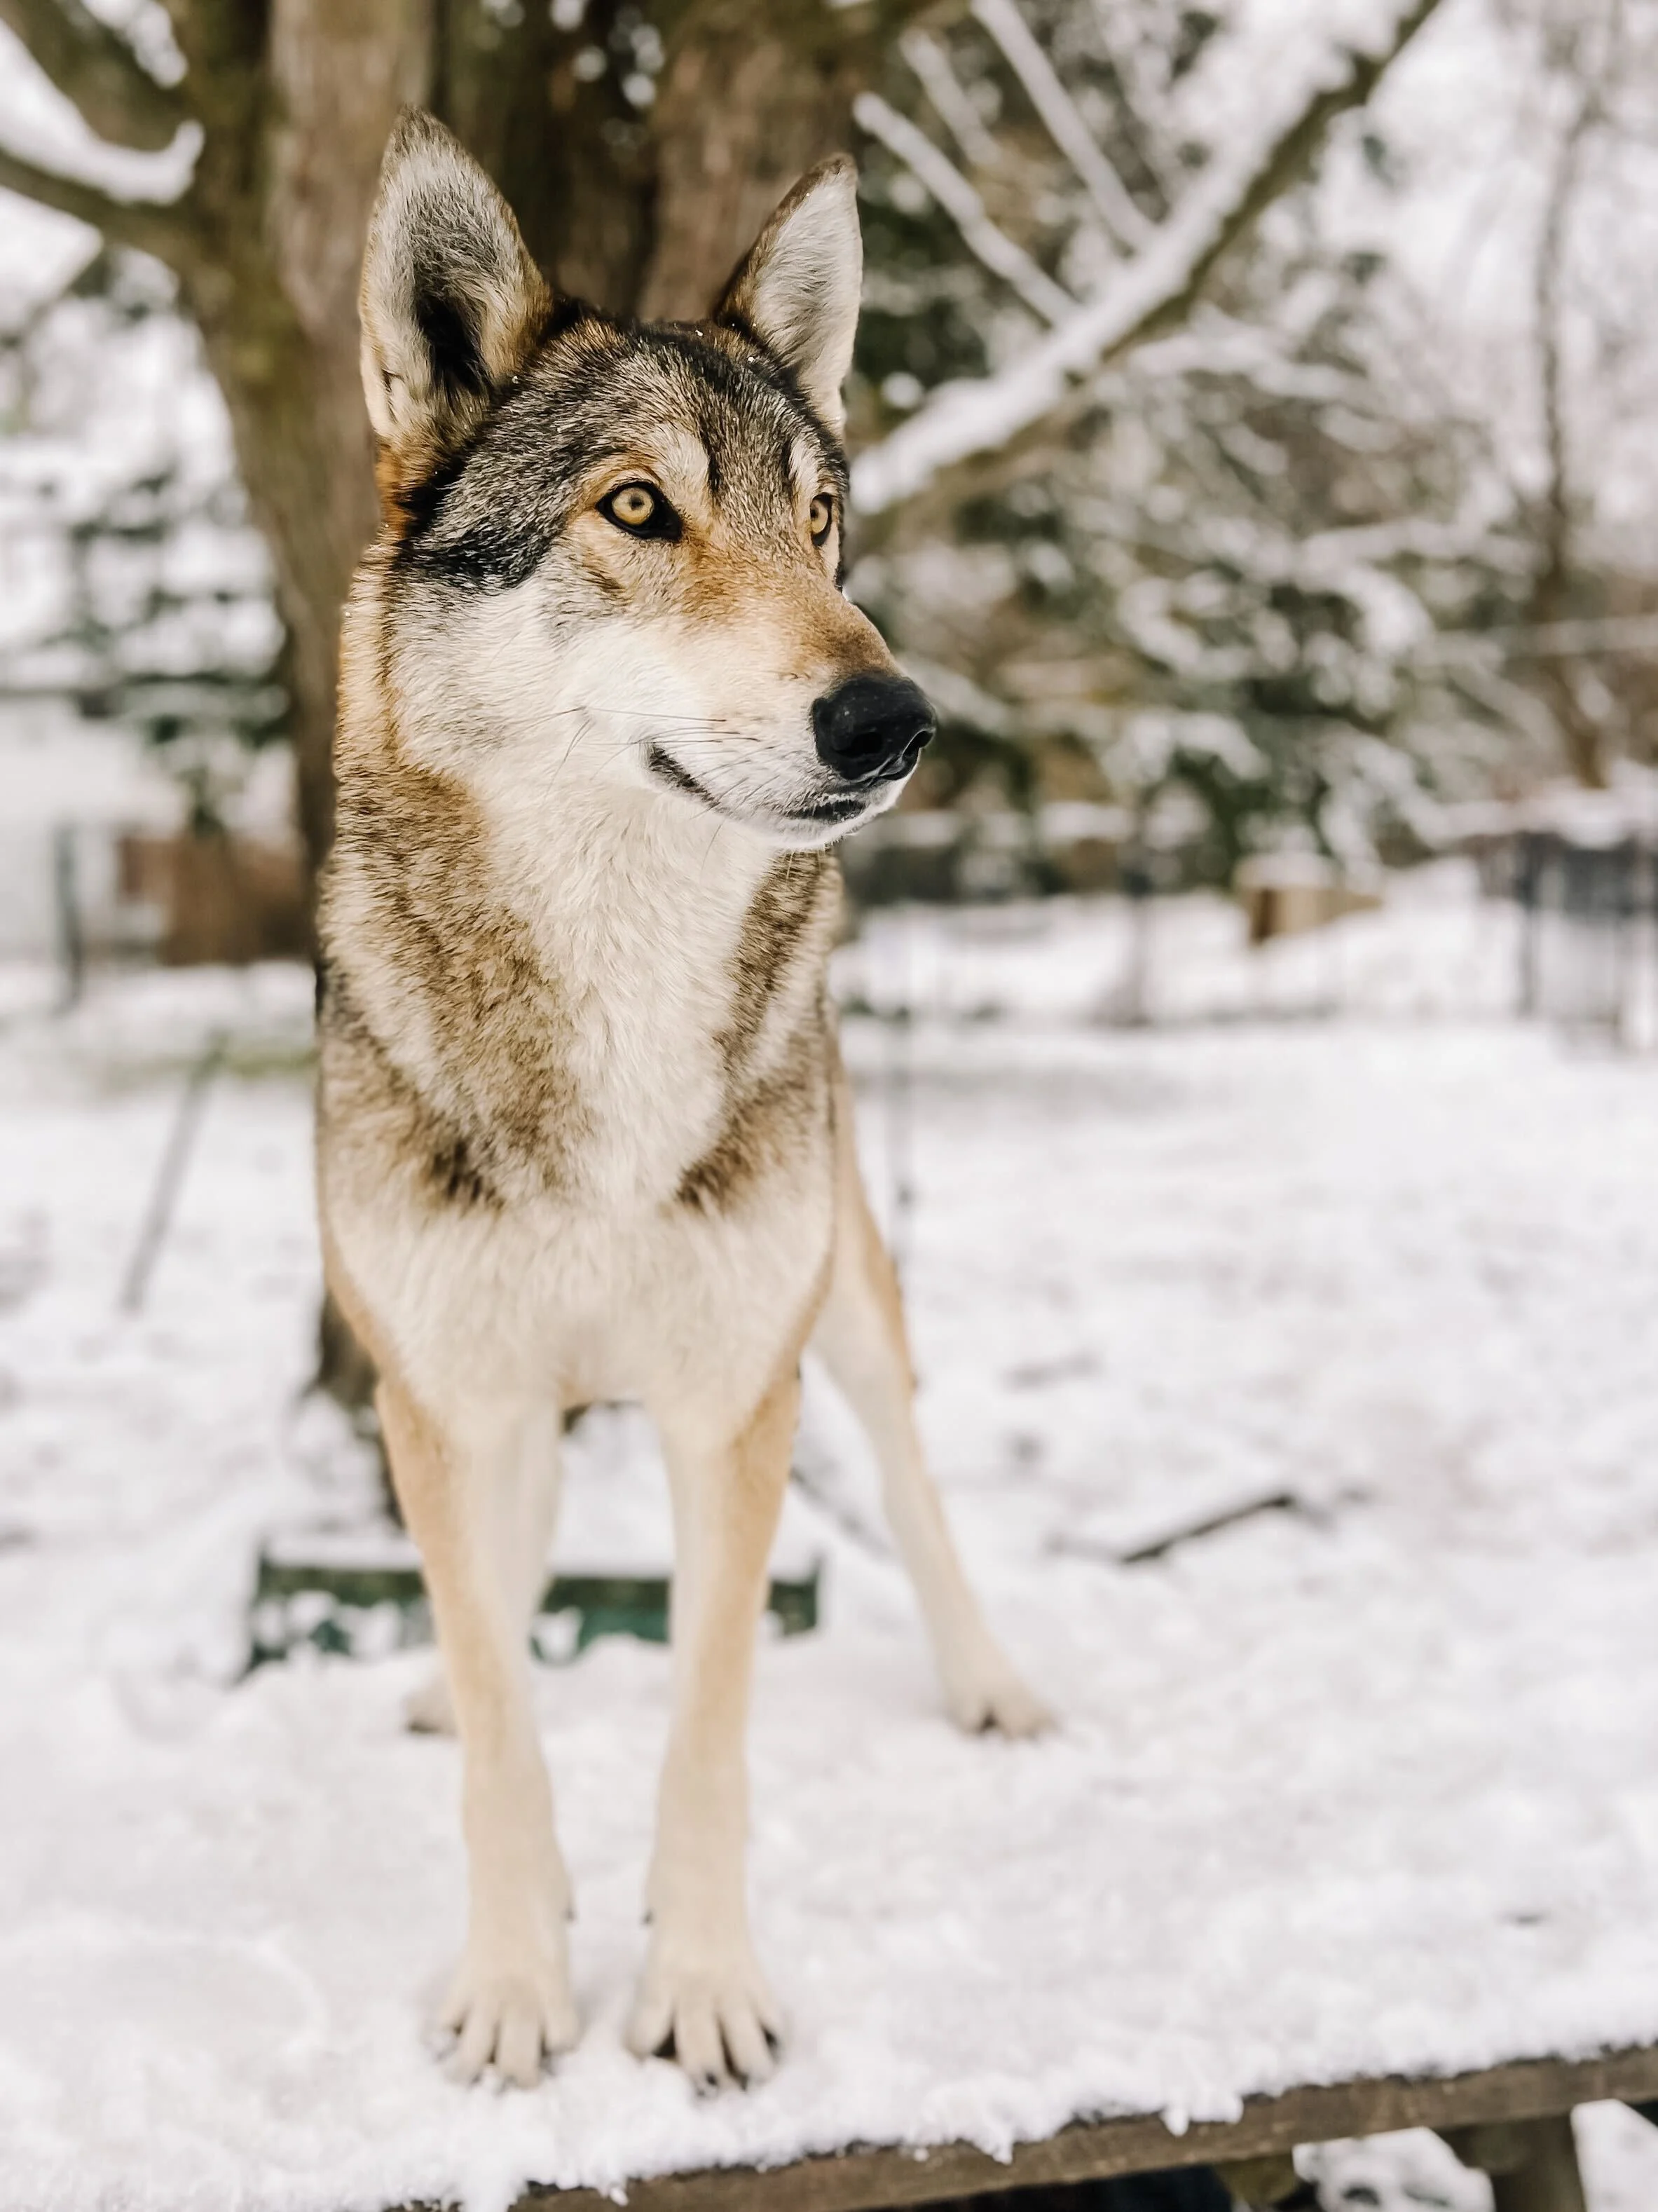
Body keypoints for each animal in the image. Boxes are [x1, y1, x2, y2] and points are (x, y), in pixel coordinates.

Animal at [317, 109, 1050, 2093]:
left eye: (821, 522)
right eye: (637, 509)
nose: (892, 719)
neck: (614, 989)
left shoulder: (739, 1400)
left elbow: (707, 1735)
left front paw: (705, 1990)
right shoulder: (445, 1387)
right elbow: (506, 1726)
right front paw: (514, 1989)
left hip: (847, 1302)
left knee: (918, 1477)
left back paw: (990, 1676)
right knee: (495, 1580)